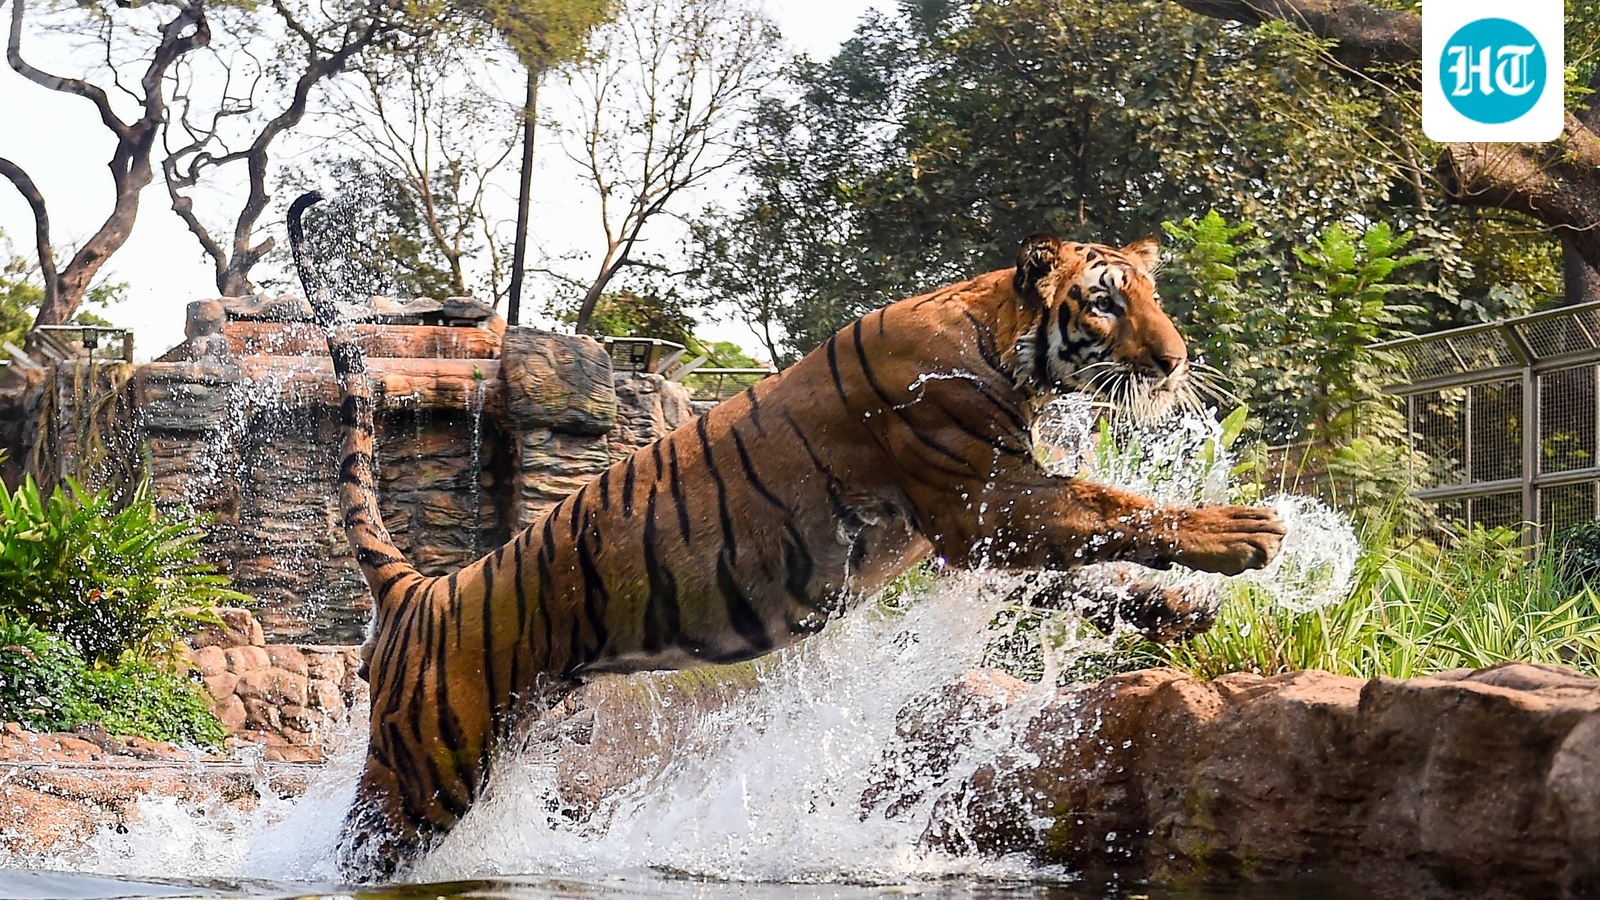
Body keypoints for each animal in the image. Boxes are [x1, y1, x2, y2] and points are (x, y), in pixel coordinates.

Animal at [286, 191, 1285, 878]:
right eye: (1107, 303)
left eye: (1153, 296)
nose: (1176, 362)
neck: (1007, 341)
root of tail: (422, 589)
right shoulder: (989, 501)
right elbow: (1119, 506)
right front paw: (1247, 531)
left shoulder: (979, 530)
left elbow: (1096, 571)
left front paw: (1183, 613)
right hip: (425, 768)